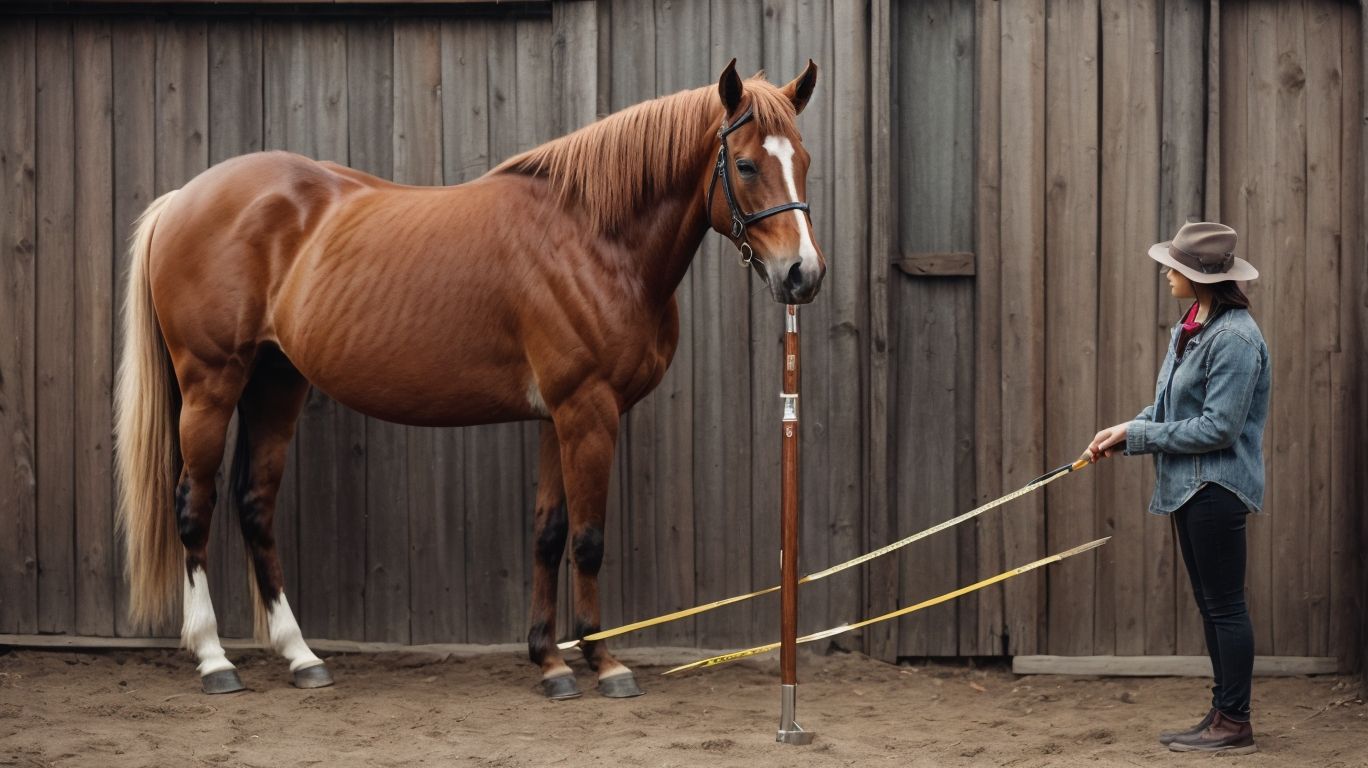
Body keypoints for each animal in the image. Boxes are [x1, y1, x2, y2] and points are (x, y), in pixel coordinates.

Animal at [115, 59, 824, 699]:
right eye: (746, 165)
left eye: (805, 159)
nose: (803, 275)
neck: (593, 237)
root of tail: (183, 199)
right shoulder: (587, 410)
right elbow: (588, 539)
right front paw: (605, 664)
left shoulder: (557, 415)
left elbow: (548, 534)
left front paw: (550, 662)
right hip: (210, 383)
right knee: (194, 506)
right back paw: (214, 660)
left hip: (276, 383)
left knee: (255, 505)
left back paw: (301, 656)